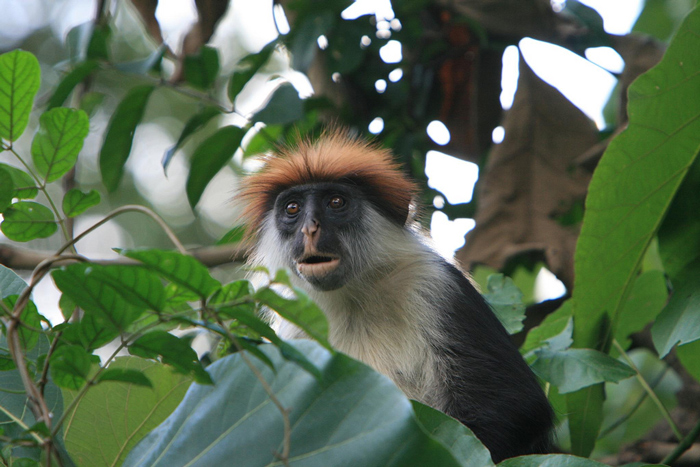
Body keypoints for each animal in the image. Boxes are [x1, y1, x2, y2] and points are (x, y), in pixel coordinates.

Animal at [238, 132, 556, 464]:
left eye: (336, 202)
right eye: (292, 209)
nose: (310, 228)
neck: (354, 297)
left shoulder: (435, 284)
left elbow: (518, 405)